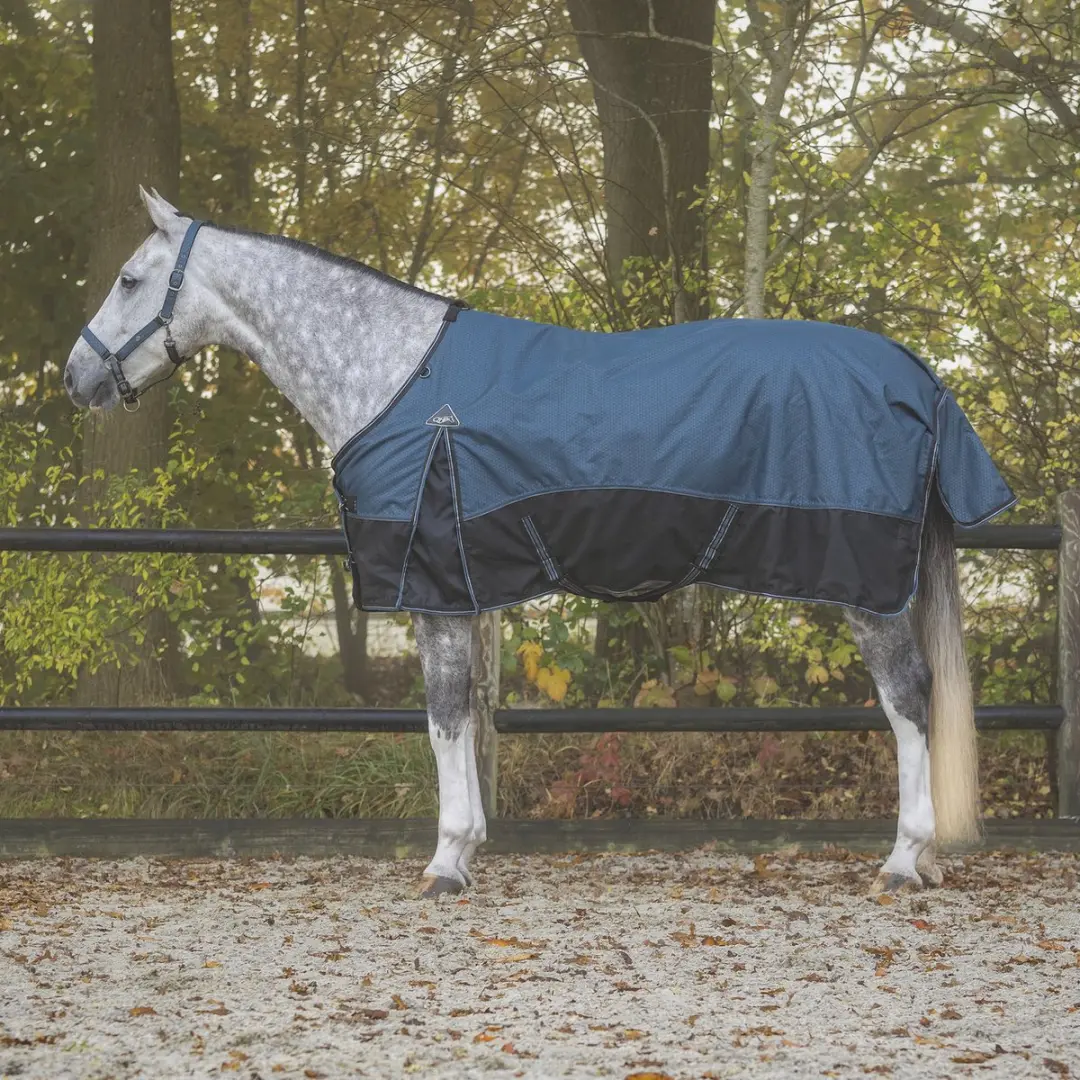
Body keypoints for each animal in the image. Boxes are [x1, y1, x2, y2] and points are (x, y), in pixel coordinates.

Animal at [65, 187, 1013, 897]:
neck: (395, 375)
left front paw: (445, 862)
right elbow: (460, 718)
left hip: (866, 586)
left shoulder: (434, 592)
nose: (75, 378)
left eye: (130, 278)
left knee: (909, 701)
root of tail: (918, 375)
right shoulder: (459, 592)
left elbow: (444, 719)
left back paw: (906, 860)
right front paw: (469, 848)